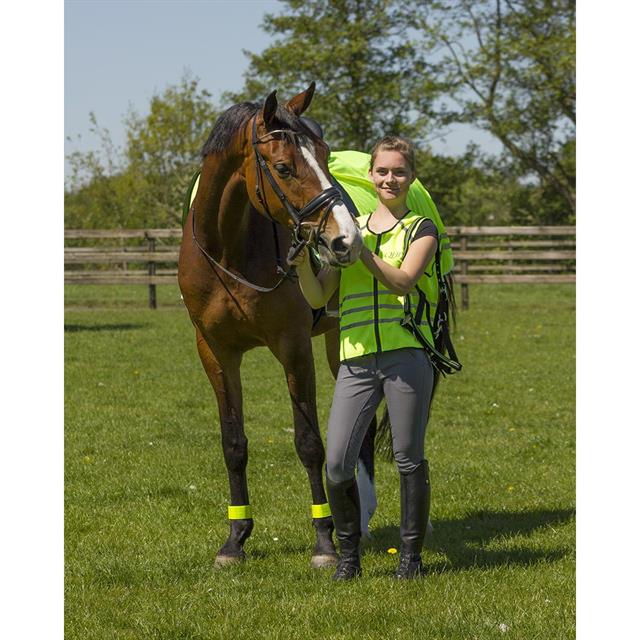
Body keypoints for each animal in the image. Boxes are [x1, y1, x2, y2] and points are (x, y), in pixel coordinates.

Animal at [176, 82, 376, 568]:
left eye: (325, 156)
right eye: (283, 167)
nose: (348, 239)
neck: (228, 252)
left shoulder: (293, 347)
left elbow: (309, 443)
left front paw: (324, 541)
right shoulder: (215, 353)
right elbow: (233, 444)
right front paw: (235, 539)